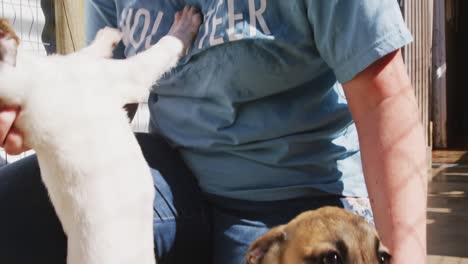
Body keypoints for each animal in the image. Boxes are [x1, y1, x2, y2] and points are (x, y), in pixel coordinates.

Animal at [0, 6, 199, 264]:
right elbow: (164, 47)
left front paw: (107, 36)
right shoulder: (125, 75)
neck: (24, 91)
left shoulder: (81, 64)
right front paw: (184, 26)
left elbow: (88, 51)